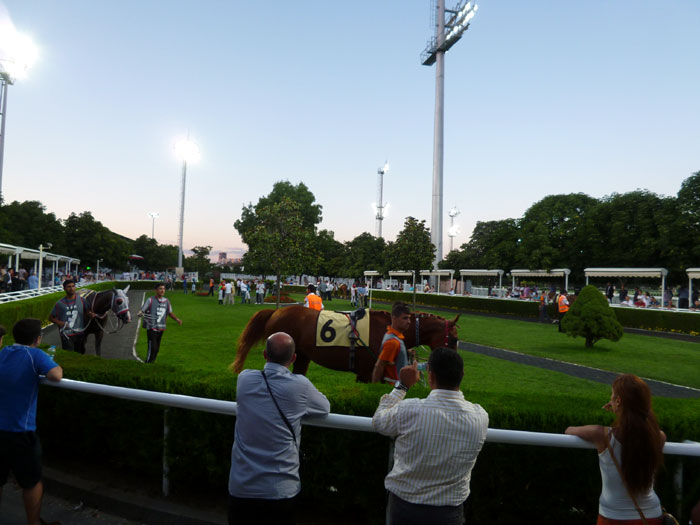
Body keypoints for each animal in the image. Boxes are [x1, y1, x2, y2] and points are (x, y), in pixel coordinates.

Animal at [231, 302, 460, 380]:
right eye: (453, 339)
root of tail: (275, 311)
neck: (387, 328)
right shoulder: (367, 372)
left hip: (302, 355)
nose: (455, 365)